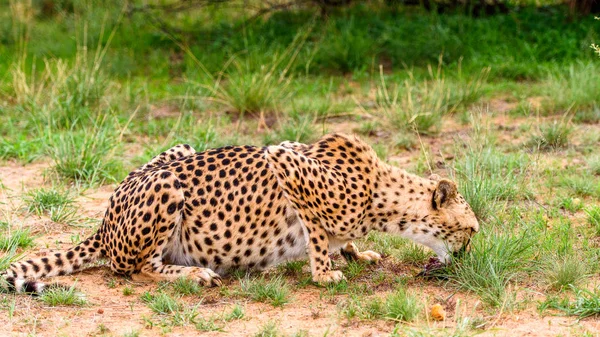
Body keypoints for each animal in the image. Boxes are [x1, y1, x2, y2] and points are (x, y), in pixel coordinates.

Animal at [0, 133, 478, 292]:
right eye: (471, 229)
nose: (469, 254)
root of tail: (103, 223)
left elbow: (340, 240)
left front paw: (356, 253)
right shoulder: (285, 158)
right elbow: (317, 232)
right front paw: (325, 273)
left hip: (181, 148)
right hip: (168, 184)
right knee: (134, 269)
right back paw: (194, 273)